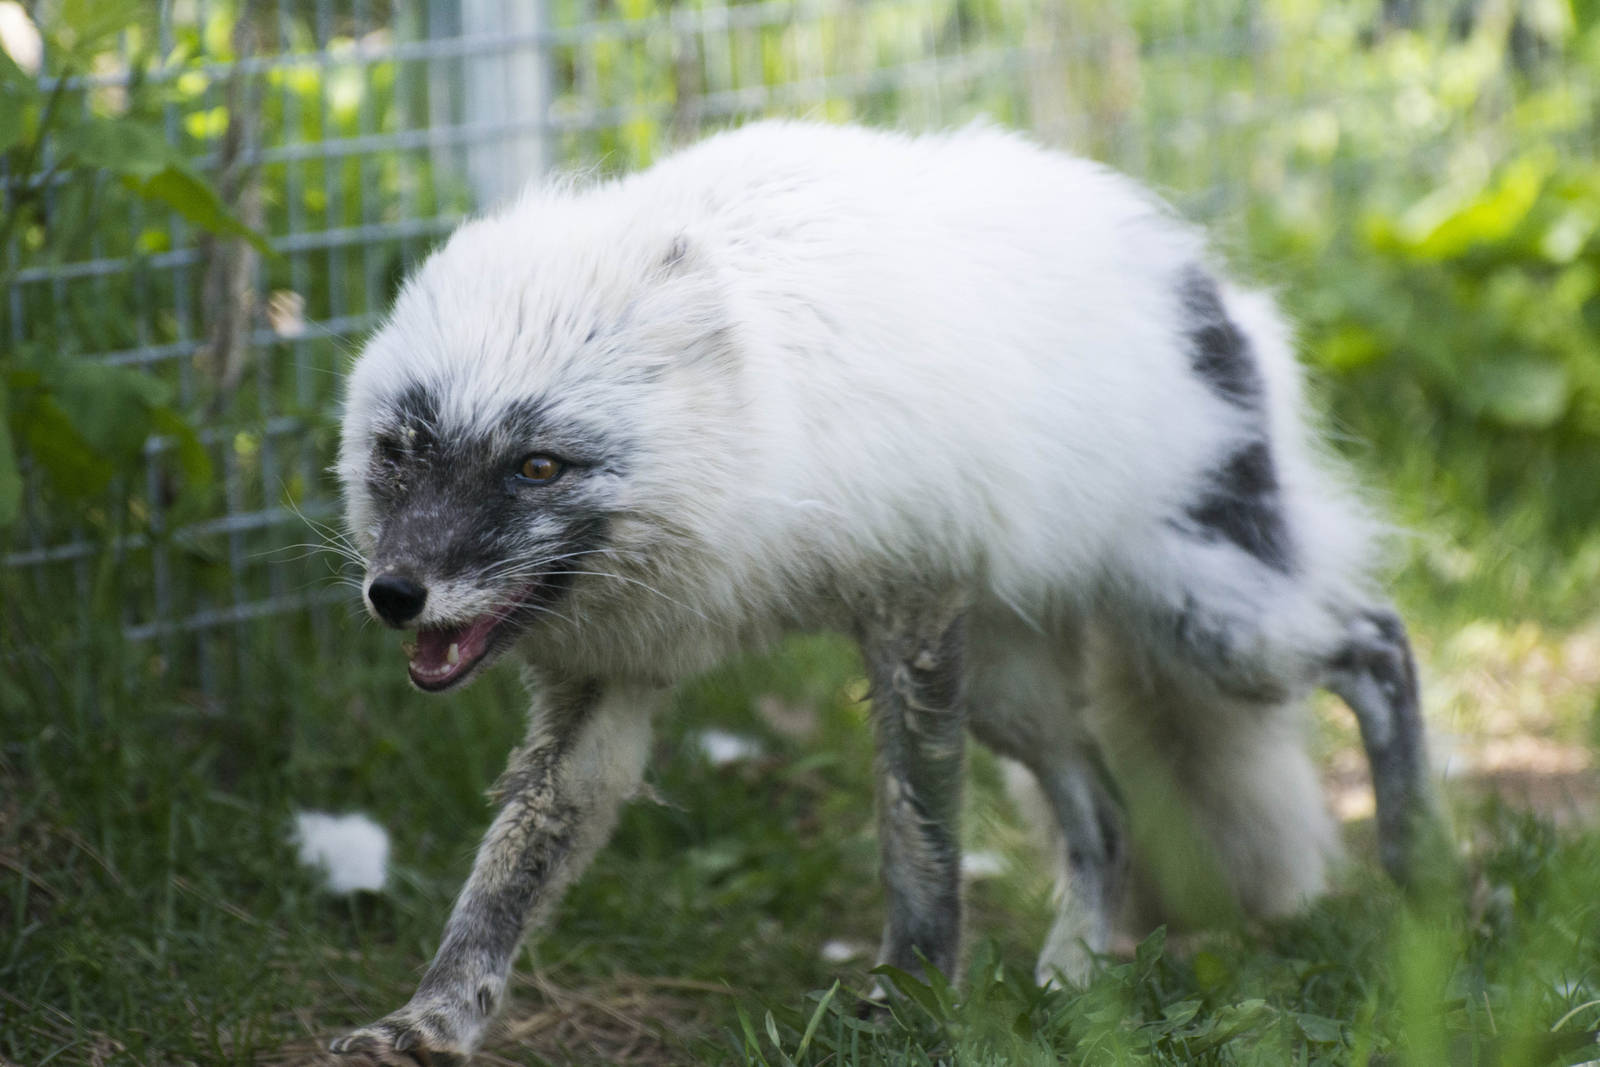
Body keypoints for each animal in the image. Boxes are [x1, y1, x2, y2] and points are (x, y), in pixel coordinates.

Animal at [330, 120, 1431, 1064]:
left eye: (536, 467)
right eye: (401, 452)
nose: (395, 593)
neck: (764, 433)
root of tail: (1206, 280)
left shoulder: (913, 614)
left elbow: (920, 843)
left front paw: (909, 1005)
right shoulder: (606, 681)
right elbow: (505, 874)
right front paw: (432, 1017)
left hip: (1206, 624)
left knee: (1379, 641)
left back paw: (1423, 881)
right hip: (1015, 686)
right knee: (1107, 811)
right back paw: (1073, 980)